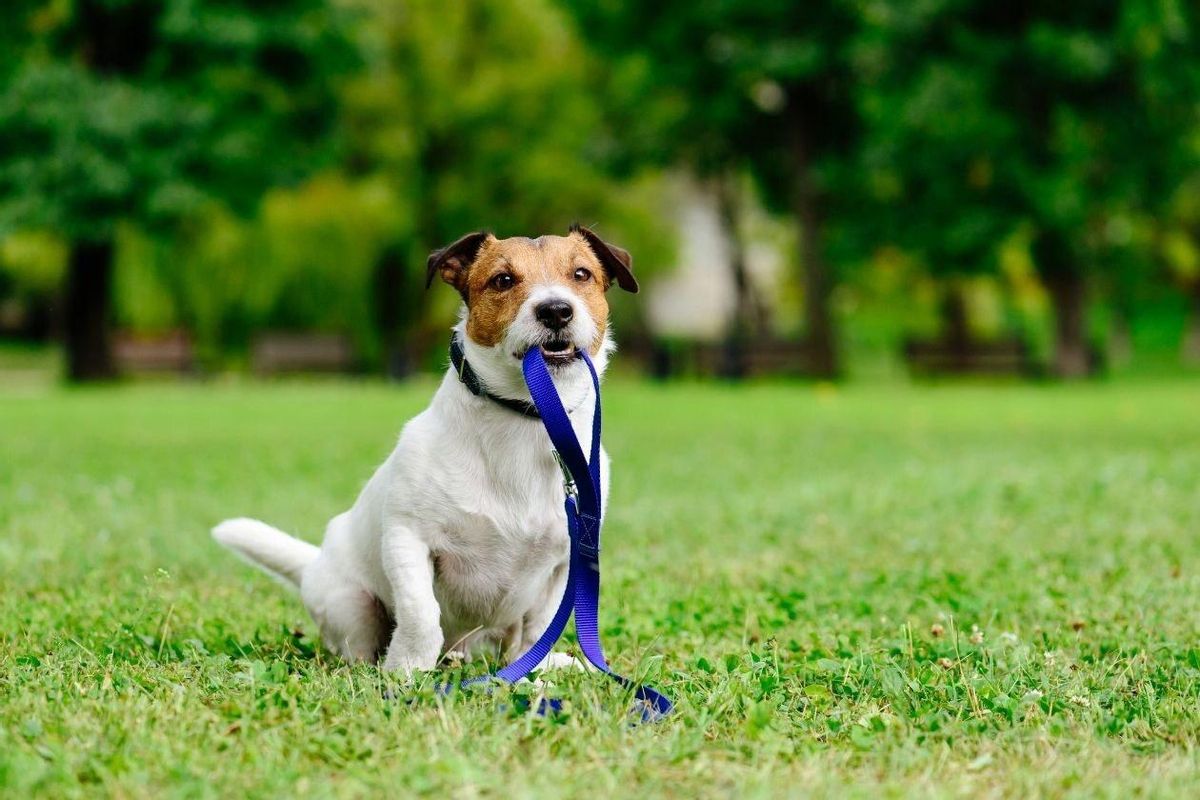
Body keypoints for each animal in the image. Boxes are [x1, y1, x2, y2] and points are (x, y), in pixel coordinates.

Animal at [213, 225, 638, 676]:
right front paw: (408, 669)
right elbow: (420, 613)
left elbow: (539, 627)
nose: (556, 310)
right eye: (503, 280)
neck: (534, 415)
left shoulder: (567, 561)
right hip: (352, 605)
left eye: (581, 274)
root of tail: (315, 564)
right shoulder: (407, 538)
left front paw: (533, 669)